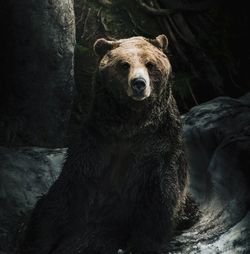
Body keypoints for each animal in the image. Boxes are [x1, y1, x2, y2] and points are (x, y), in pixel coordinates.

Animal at [19, 35, 195, 254]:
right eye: (124, 64)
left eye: (150, 64)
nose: (139, 83)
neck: (131, 124)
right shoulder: (97, 142)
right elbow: (64, 196)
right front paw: (37, 242)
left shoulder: (160, 145)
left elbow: (161, 195)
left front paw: (143, 243)